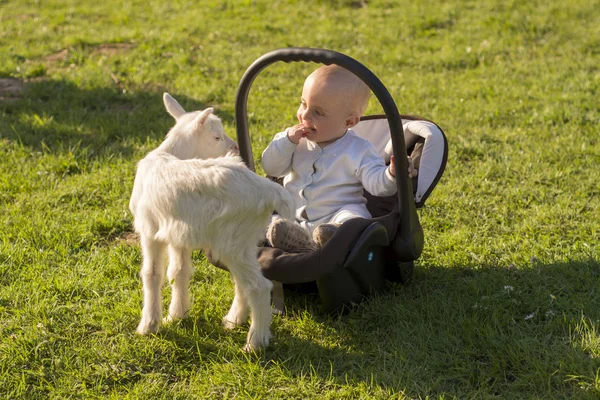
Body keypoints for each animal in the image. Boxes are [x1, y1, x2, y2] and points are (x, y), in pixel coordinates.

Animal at [130, 93, 294, 350]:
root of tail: (268, 190)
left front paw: (149, 326)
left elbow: (152, 274)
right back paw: (234, 320)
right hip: (245, 241)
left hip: (233, 241)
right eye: (216, 136)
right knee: (242, 281)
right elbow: (179, 271)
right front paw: (176, 315)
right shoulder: (178, 235)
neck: (171, 155)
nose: (234, 147)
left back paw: (255, 343)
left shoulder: (150, 231)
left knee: (259, 287)